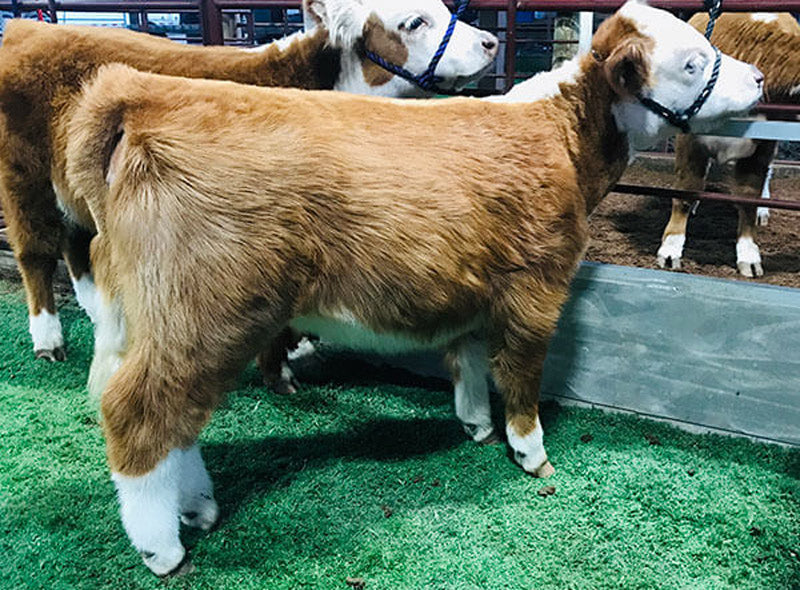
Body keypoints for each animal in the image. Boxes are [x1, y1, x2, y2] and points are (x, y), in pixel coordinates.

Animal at [0, 0, 500, 366]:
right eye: (414, 21)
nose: (491, 41)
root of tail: (27, 28)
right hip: (23, 177)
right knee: (37, 252)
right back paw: (48, 338)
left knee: (76, 241)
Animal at [65, 0, 760, 572]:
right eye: (693, 62)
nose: (757, 79)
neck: (560, 135)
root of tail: (140, 95)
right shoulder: (536, 286)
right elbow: (522, 371)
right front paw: (529, 450)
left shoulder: (480, 282)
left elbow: (470, 357)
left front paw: (477, 425)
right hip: (205, 310)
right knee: (140, 413)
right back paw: (163, 547)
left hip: (174, 320)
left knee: (176, 417)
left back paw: (197, 507)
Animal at [660, 13, 796, 278]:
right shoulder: (690, 139)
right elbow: (686, 188)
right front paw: (670, 250)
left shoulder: (761, 146)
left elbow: (749, 198)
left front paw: (748, 255)